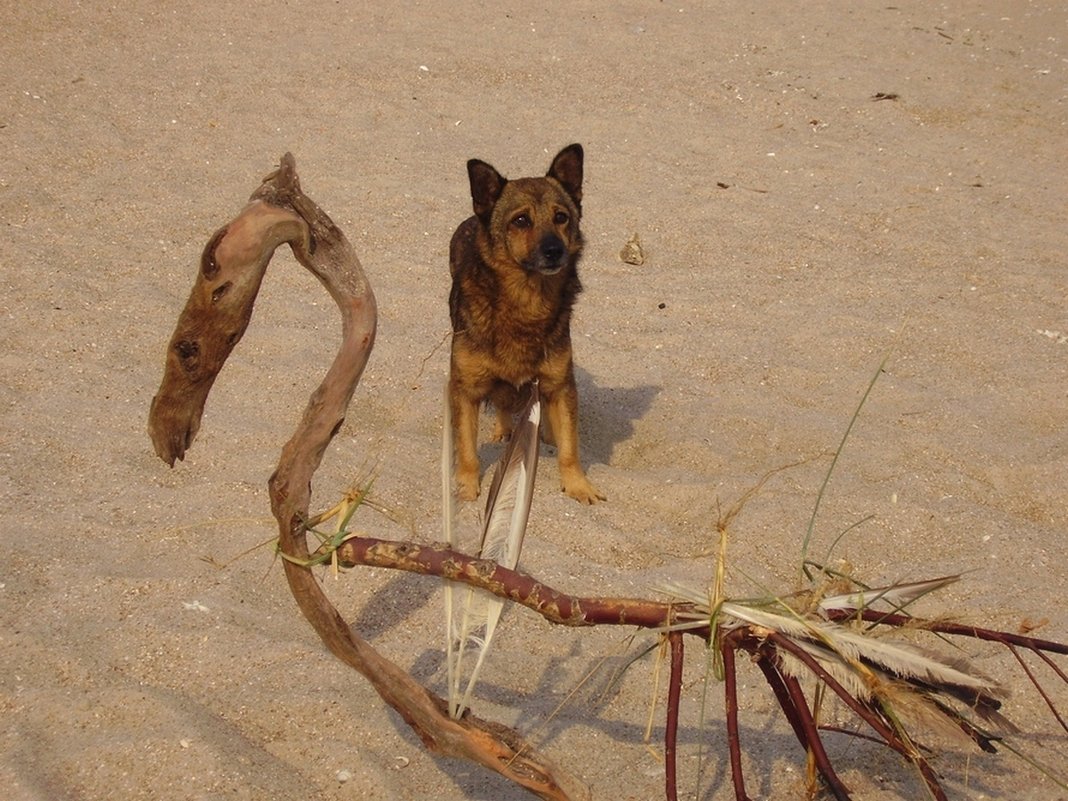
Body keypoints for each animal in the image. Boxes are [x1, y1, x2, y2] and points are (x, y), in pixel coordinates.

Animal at [446, 144, 606, 504]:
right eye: (521, 220)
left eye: (561, 217)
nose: (554, 251)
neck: (527, 301)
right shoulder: (465, 389)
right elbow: (467, 449)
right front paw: (466, 488)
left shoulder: (560, 385)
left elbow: (570, 447)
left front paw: (577, 484)